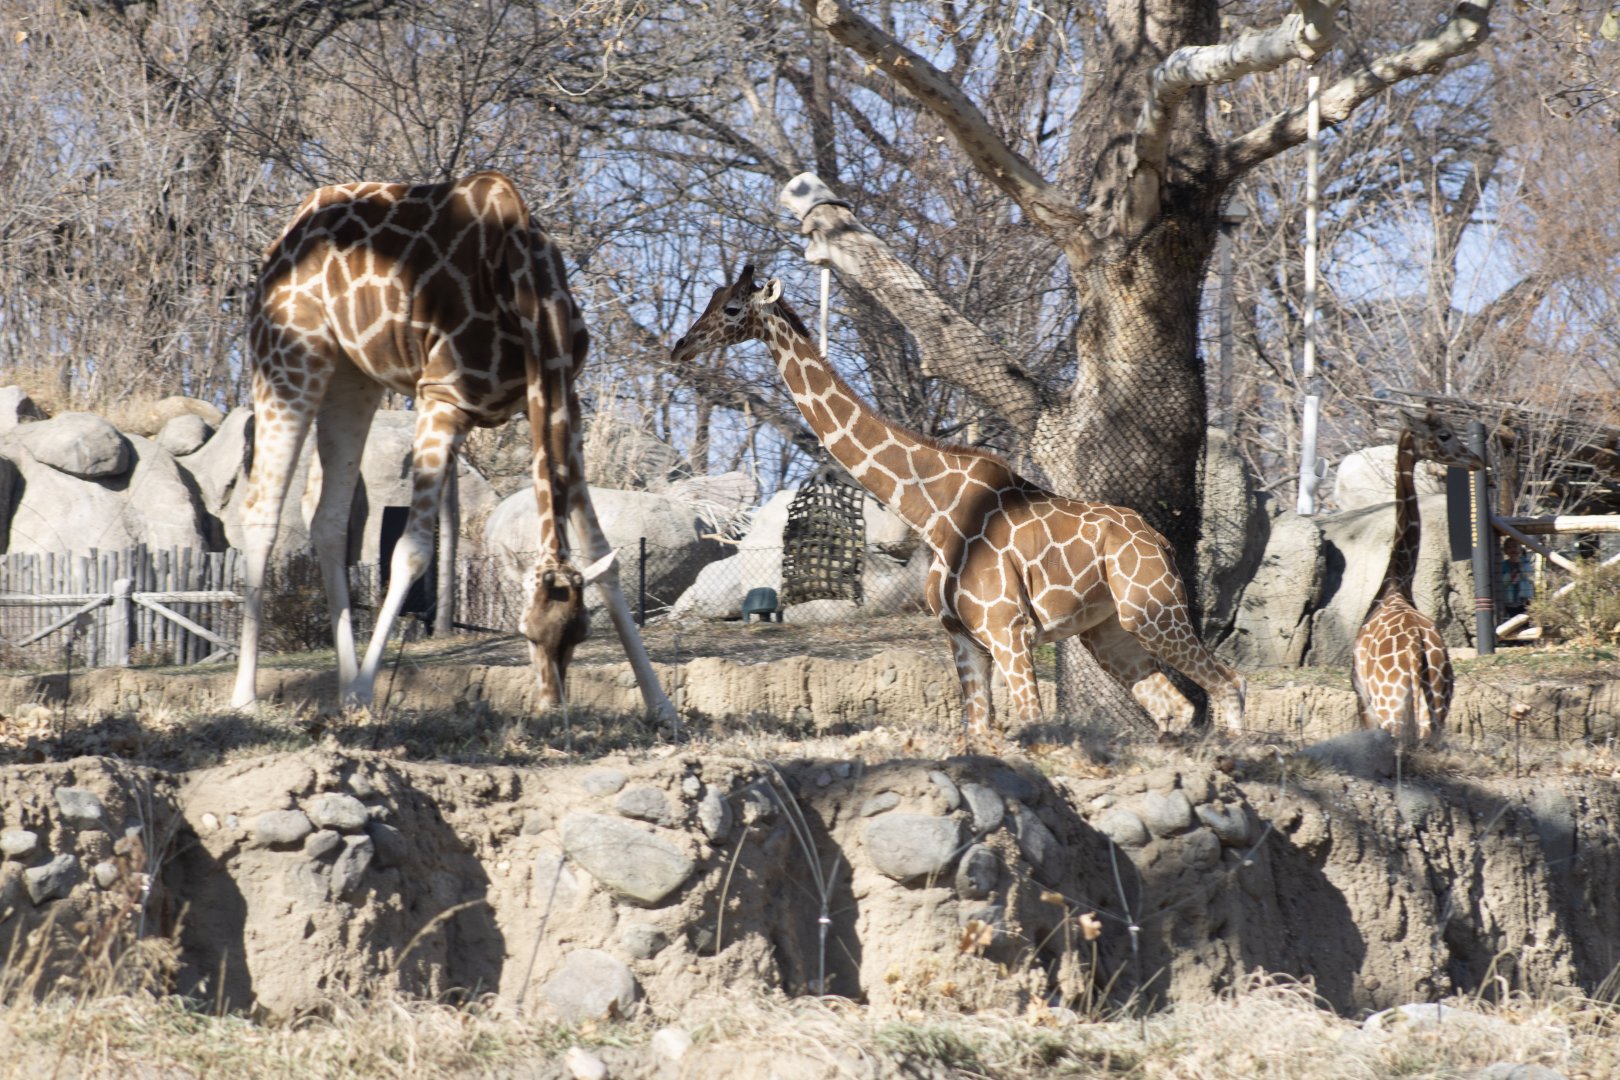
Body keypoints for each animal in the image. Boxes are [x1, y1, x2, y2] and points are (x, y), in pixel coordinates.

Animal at [231, 171, 674, 722]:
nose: (553, 708)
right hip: (290, 355)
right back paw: (247, 697)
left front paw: (663, 707)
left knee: (327, 515)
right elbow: (413, 552)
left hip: (354, 376)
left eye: (579, 636)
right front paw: (367, 692)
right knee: (261, 508)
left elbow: (603, 556)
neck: (531, 293)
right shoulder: (442, 399)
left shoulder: (559, 403)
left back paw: (342, 688)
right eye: (527, 633)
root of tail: (287, 234)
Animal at [671, 266, 1245, 747]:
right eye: (713, 298)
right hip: (1107, 629)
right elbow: (978, 732)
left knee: (1227, 682)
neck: (932, 509)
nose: (681, 345)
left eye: (731, 308)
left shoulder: (1009, 630)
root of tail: (1160, 539)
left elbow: (1033, 726)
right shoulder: (966, 638)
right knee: (1175, 706)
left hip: (1154, 608)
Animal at [1351, 413, 1482, 747]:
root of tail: (1416, 654)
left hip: (1391, 708)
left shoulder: (1362, 698)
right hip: (1436, 708)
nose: (1475, 459)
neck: (1397, 583)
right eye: (1445, 434)